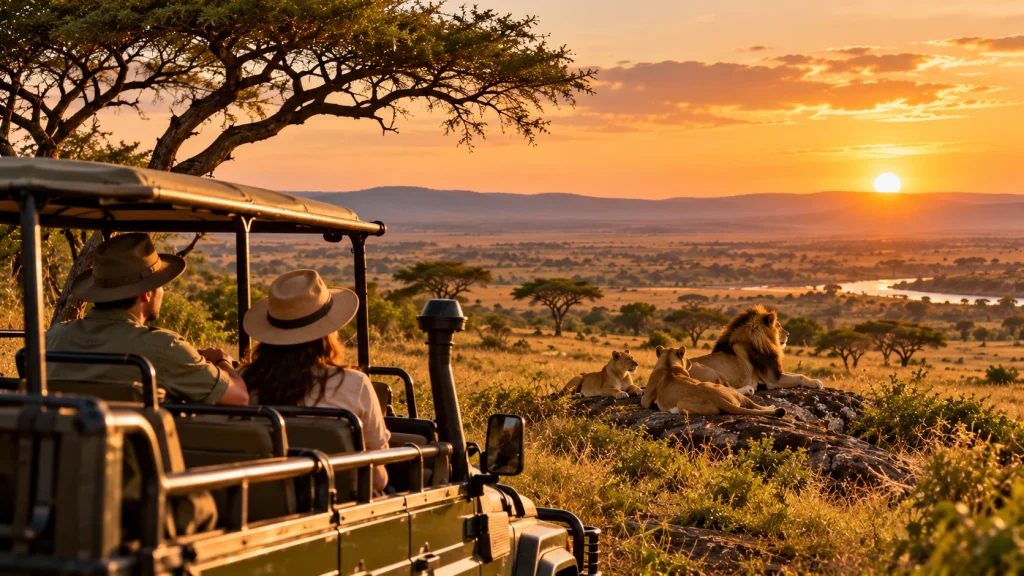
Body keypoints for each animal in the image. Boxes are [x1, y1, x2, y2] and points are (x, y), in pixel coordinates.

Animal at [641, 345, 785, 417]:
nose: (689, 362)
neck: (669, 365)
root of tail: (716, 397)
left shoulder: (645, 400)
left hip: (682, 404)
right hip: (731, 393)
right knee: (753, 404)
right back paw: (774, 407)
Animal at [687, 305, 823, 396]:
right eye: (779, 327)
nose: (788, 334)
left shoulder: (775, 372)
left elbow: (796, 373)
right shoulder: (773, 380)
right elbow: (799, 376)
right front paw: (816, 382)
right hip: (709, 371)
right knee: (719, 389)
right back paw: (748, 389)